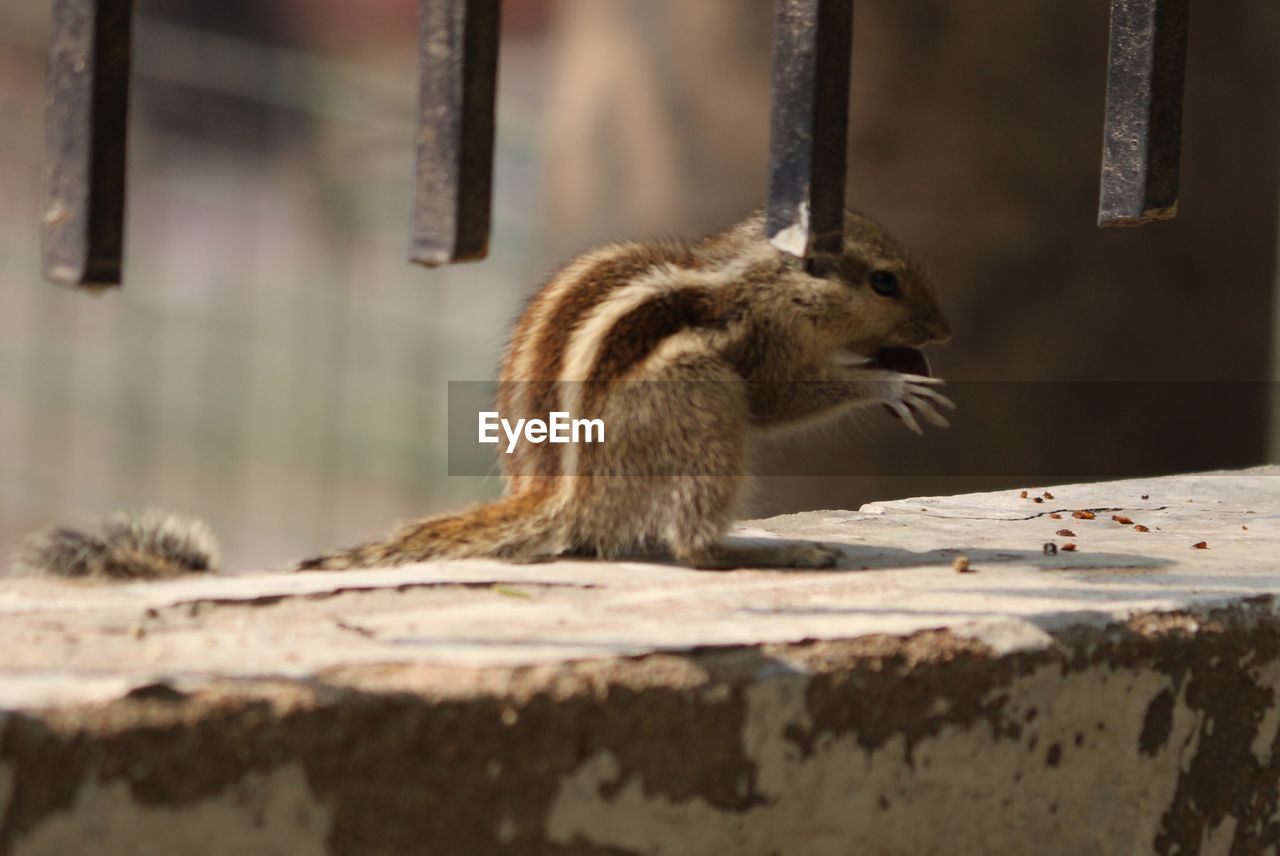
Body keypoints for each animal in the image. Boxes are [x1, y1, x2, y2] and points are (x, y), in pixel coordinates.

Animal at [10, 208, 952, 580]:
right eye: (884, 281)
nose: (941, 330)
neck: (763, 278)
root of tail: (563, 500)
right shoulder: (759, 351)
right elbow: (783, 398)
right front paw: (892, 380)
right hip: (700, 407)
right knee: (691, 543)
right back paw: (767, 553)